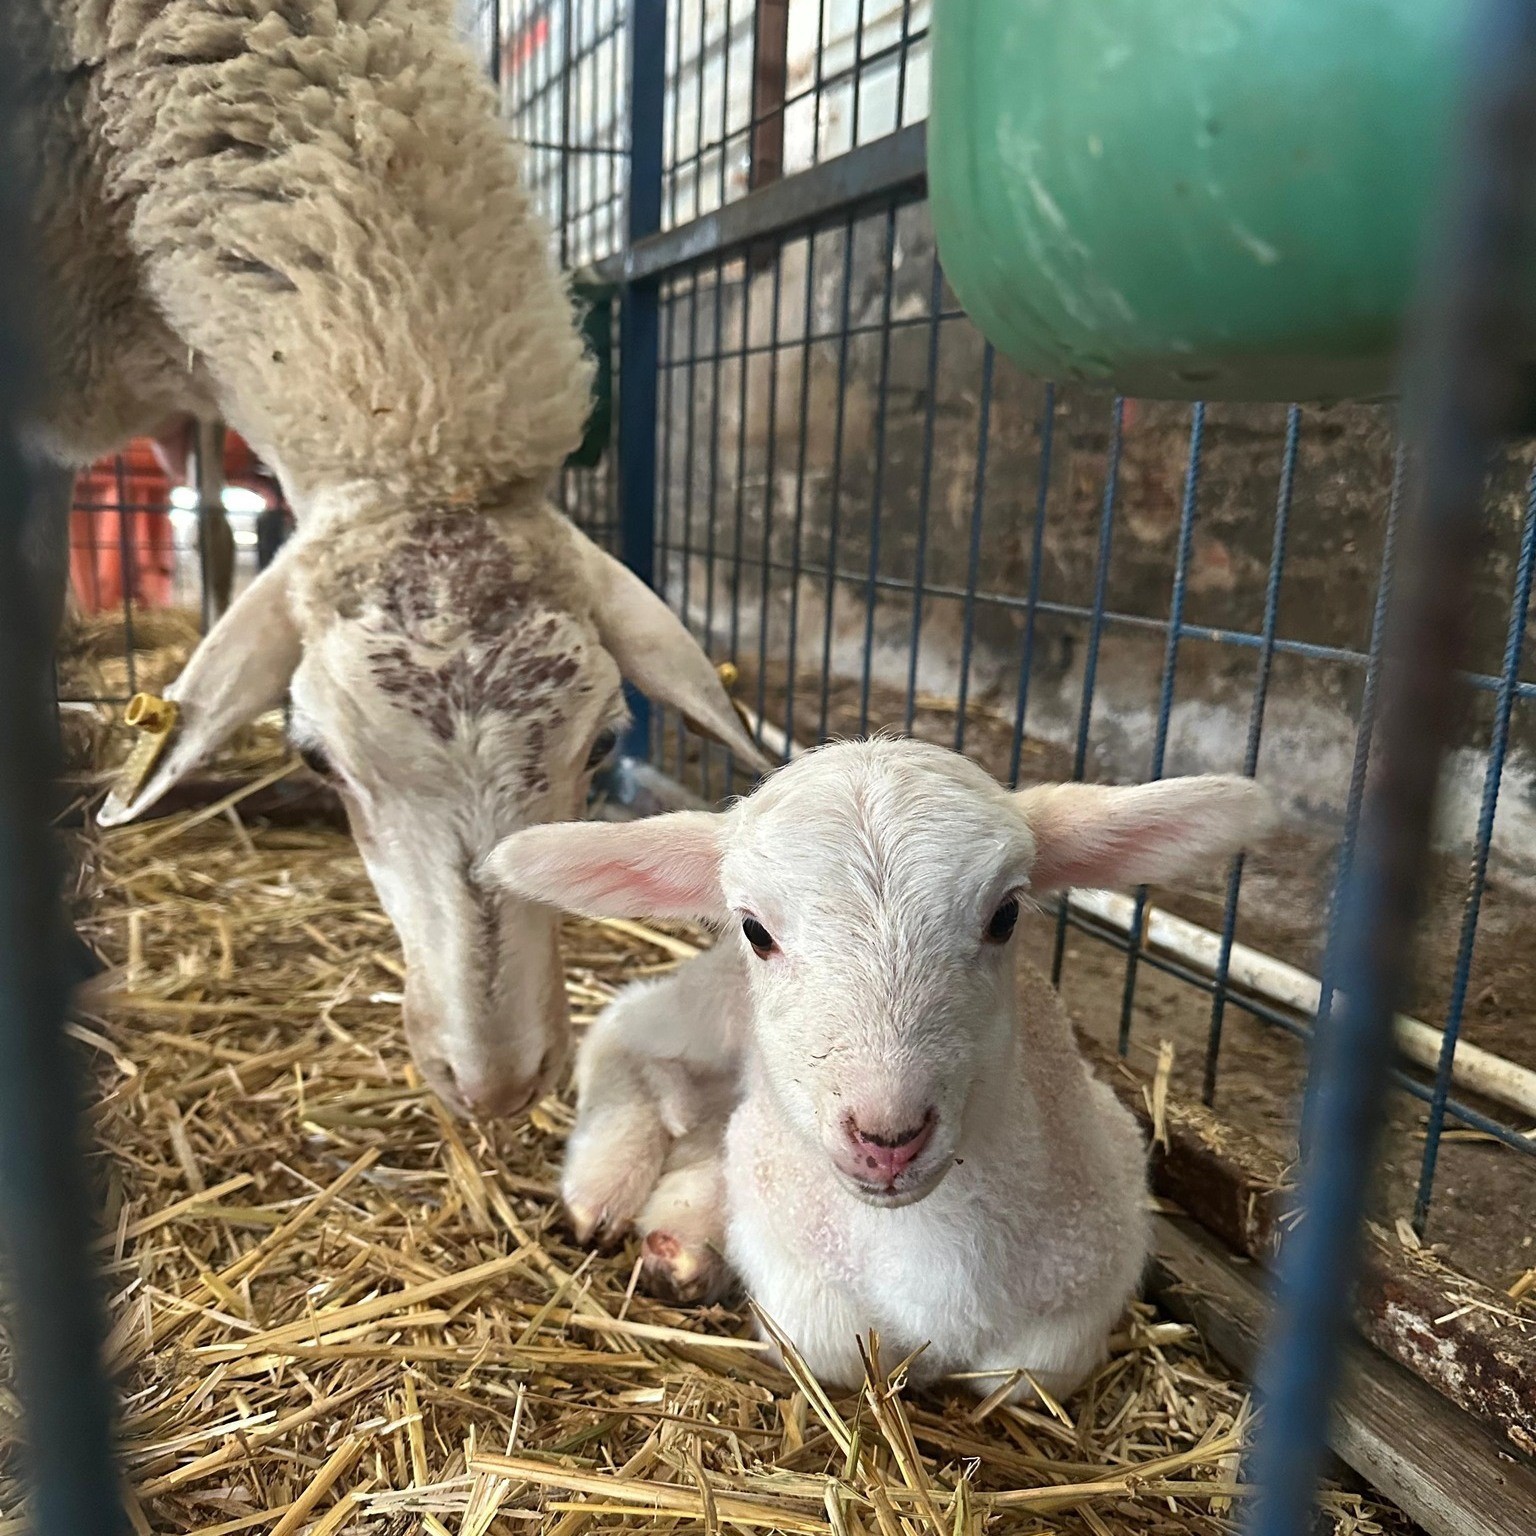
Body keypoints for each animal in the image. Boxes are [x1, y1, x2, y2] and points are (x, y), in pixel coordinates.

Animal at [488, 737, 1271, 1400]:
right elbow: (835, 1346)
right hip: (710, 1013)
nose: (887, 1136)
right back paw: (606, 1183)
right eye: (755, 929)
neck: (923, 1240)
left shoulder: (1105, 1222)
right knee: (620, 1031)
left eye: (1006, 915)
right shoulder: (793, 1258)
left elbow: (1027, 1371)